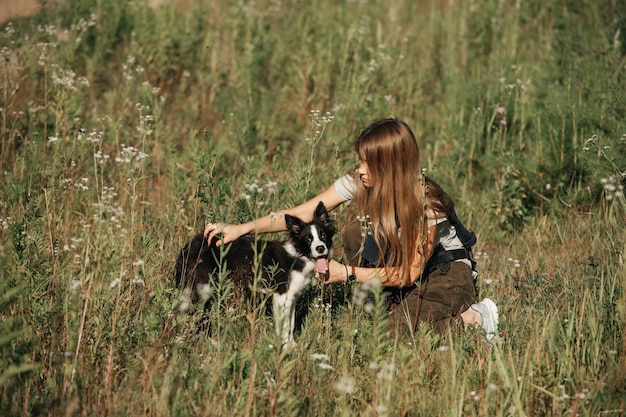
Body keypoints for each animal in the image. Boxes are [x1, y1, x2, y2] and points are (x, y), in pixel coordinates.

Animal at [173, 201, 334, 344]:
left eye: (324, 236)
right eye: (308, 239)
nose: (320, 248)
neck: (299, 256)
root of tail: (189, 246)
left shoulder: (292, 296)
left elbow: (291, 322)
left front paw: (292, 346)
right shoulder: (282, 295)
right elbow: (285, 325)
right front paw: (286, 347)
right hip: (203, 287)